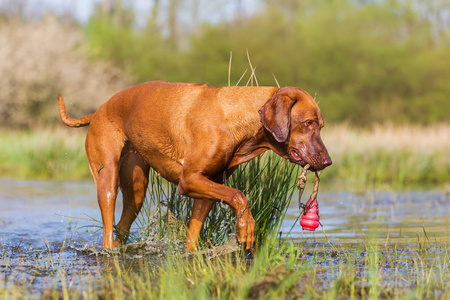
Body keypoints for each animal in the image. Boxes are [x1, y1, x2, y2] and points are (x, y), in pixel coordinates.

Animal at [59, 81, 330, 251]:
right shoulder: (188, 180)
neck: (236, 117)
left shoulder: (208, 186)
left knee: (122, 228)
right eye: (307, 123)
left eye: (321, 125)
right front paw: (246, 228)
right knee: (107, 222)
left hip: (136, 188)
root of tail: (97, 111)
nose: (328, 162)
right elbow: (239, 195)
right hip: (107, 179)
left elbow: (194, 234)